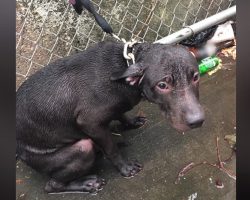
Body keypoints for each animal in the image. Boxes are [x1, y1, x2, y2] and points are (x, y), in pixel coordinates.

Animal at [17, 41, 205, 194]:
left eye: (196, 77)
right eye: (162, 85)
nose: (197, 121)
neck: (126, 66)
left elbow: (120, 114)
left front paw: (131, 122)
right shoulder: (89, 122)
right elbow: (112, 149)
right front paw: (126, 168)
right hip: (81, 148)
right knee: (51, 185)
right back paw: (87, 184)